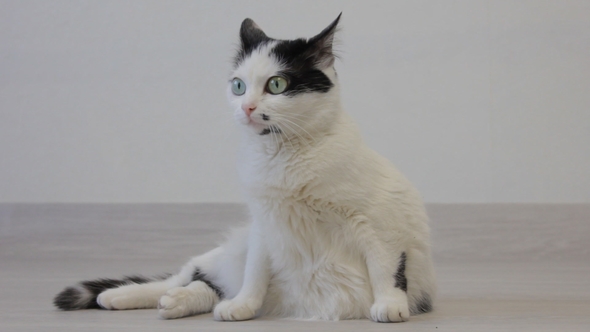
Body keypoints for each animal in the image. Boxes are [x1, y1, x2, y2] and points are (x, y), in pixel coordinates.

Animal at [53, 14, 438, 322]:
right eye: (238, 86)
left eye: (277, 84)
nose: (247, 107)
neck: (283, 156)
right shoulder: (263, 226)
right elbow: (255, 273)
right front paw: (243, 306)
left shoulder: (379, 223)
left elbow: (385, 267)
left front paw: (390, 305)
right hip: (228, 250)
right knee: (185, 276)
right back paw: (121, 296)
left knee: (200, 286)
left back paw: (172, 303)